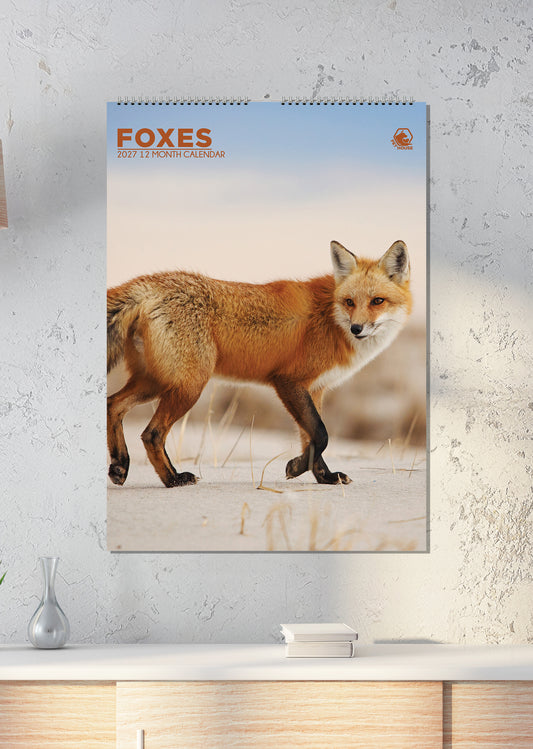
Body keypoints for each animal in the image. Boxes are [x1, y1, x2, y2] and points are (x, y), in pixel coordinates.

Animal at [107, 239, 412, 488]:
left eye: (377, 301)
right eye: (349, 302)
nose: (356, 328)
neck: (329, 316)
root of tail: (148, 284)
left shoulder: (315, 389)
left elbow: (312, 437)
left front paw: (324, 477)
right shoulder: (288, 381)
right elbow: (321, 435)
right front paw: (296, 467)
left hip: (155, 381)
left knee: (113, 404)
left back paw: (120, 465)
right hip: (187, 386)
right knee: (151, 434)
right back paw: (173, 479)